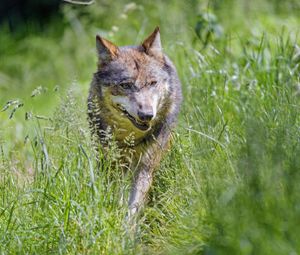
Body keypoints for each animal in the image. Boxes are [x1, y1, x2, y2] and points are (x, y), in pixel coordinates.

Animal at [85, 27, 182, 217]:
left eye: (152, 83)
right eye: (126, 85)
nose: (147, 115)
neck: (130, 137)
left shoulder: (146, 166)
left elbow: (134, 205)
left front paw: (127, 224)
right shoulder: (113, 164)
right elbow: (117, 196)